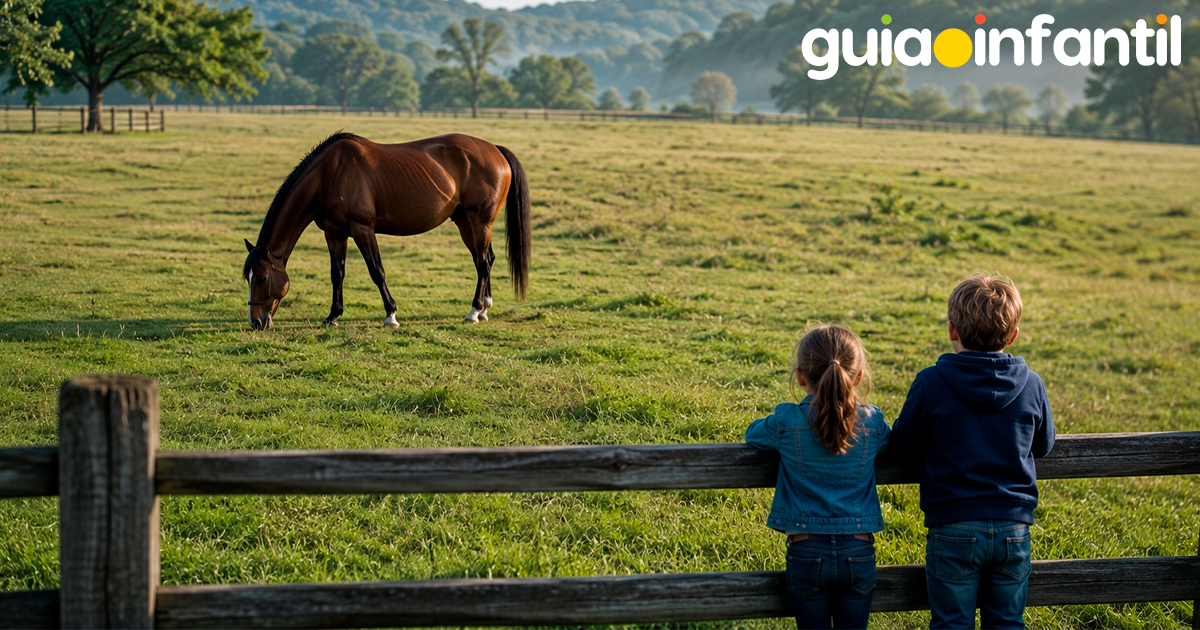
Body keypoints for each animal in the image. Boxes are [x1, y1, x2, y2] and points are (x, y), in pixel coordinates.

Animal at [242, 132, 530, 330]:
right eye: (249, 278)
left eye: (262, 278)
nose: (256, 322)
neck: (329, 174)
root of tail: (495, 149)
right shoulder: (334, 233)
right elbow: (337, 274)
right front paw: (332, 316)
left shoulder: (362, 229)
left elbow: (376, 271)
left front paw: (391, 315)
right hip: (465, 222)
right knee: (486, 259)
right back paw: (484, 309)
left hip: (480, 222)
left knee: (482, 263)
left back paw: (473, 312)